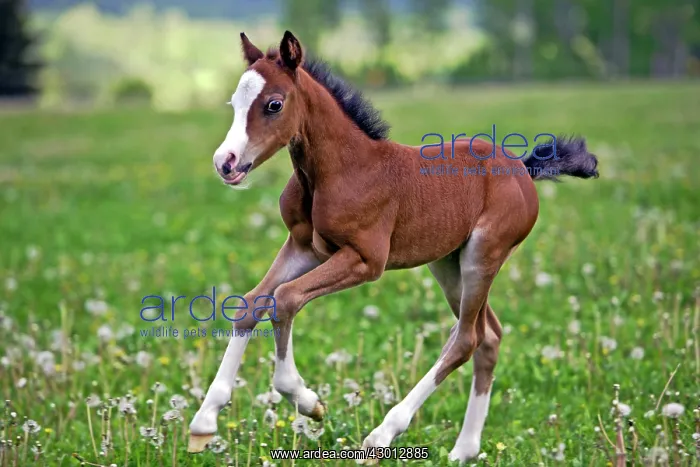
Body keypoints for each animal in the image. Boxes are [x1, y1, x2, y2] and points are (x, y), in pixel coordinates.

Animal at [188, 30, 599, 463]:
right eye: (234, 104)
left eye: (274, 104)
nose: (226, 162)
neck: (340, 170)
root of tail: (522, 168)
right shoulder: (303, 246)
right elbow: (251, 304)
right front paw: (204, 422)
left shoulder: (366, 261)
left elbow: (285, 298)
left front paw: (308, 401)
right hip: (447, 263)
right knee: (488, 336)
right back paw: (464, 449)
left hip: (483, 255)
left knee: (466, 339)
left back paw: (382, 435)